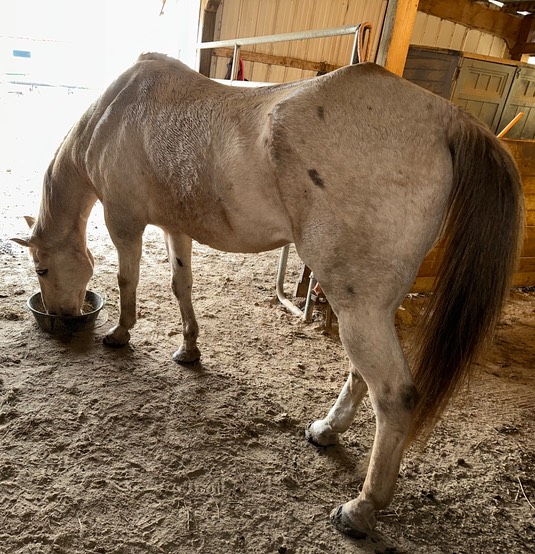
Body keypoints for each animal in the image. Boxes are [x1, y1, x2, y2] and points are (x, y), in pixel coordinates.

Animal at [12, 53, 523, 539]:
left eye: (41, 268)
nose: (61, 318)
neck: (114, 115)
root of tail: (446, 117)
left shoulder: (124, 222)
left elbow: (127, 281)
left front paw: (120, 334)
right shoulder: (176, 227)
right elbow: (181, 286)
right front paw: (189, 349)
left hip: (358, 306)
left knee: (394, 397)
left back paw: (360, 511)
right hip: (373, 306)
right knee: (362, 375)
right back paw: (326, 431)